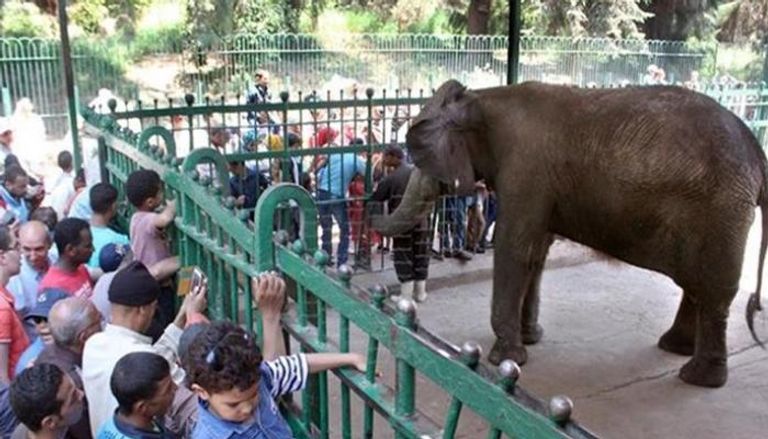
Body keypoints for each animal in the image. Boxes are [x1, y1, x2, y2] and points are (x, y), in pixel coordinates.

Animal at [370, 79, 760, 388]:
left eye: (424, 155)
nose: (379, 195)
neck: (484, 98)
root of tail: (759, 155)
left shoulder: (525, 171)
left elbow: (516, 249)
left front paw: (505, 360)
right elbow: (536, 254)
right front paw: (531, 339)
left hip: (722, 211)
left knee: (714, 291)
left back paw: (699, 378)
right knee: (697, 285)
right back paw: (675, 349)